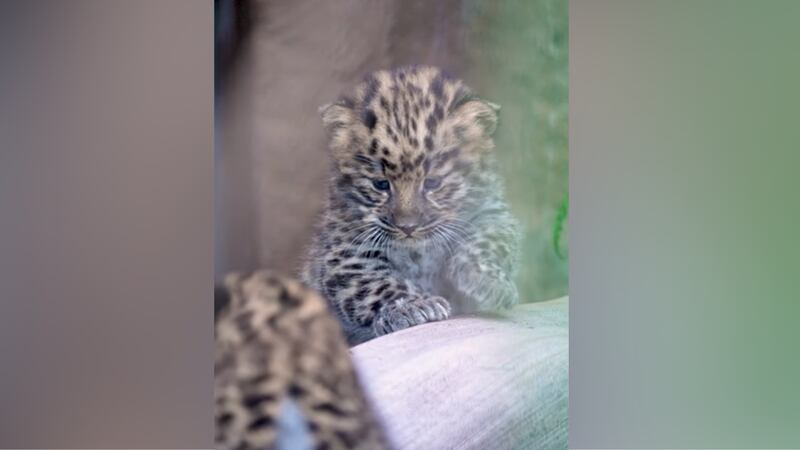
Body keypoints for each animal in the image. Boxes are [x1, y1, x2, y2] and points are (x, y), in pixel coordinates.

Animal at [303, 65, 521, 346]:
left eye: (432, 183)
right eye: (381, 184)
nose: (408, 227)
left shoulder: (492, 211)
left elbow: (490, 241)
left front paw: (487, 281)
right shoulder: (346, 249)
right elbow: (375, 283)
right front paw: (413, 306)